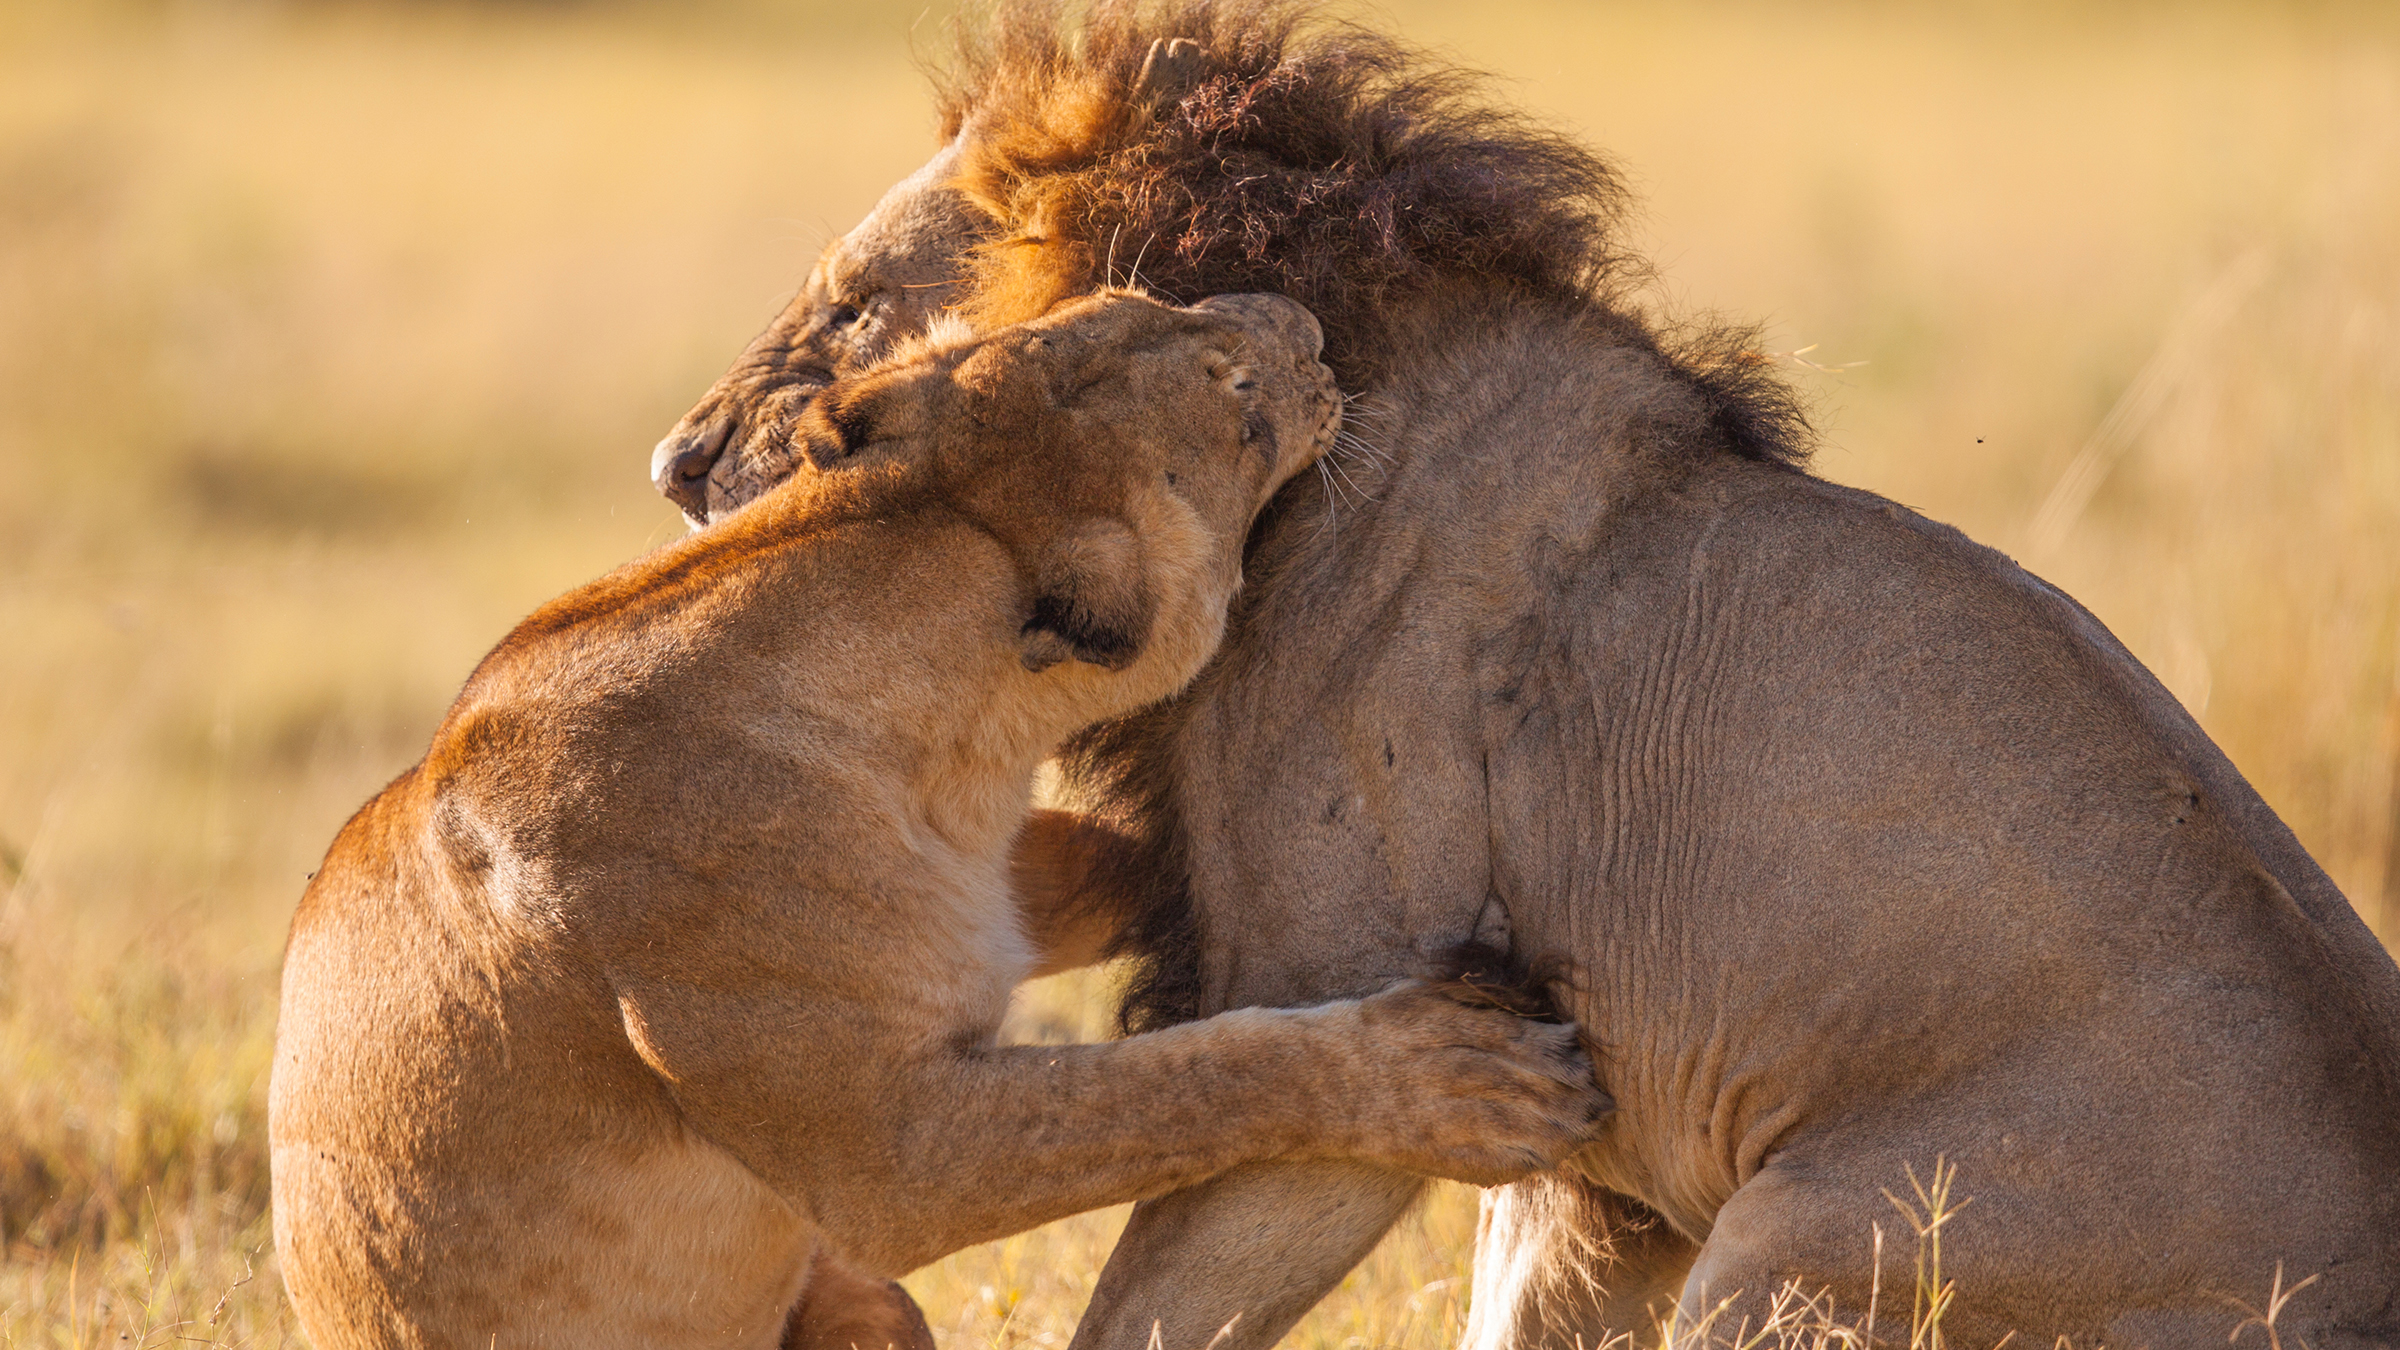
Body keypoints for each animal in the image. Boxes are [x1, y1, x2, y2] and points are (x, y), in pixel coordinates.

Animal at [268, 289, 1611, 1350]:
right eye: (1241, 409)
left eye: (1139, 298)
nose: (1310, 325)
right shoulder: (894, 1156)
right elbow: (1184, 1084)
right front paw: (1458, 1076)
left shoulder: (1001, 891)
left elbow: (1140, 883)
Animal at [647, 5, 2400, 1349]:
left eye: (854, 304)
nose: (673, 464)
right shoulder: (1593, 1171)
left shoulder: (1357, 997)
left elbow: (1156, 1293)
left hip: (1803, 1243)